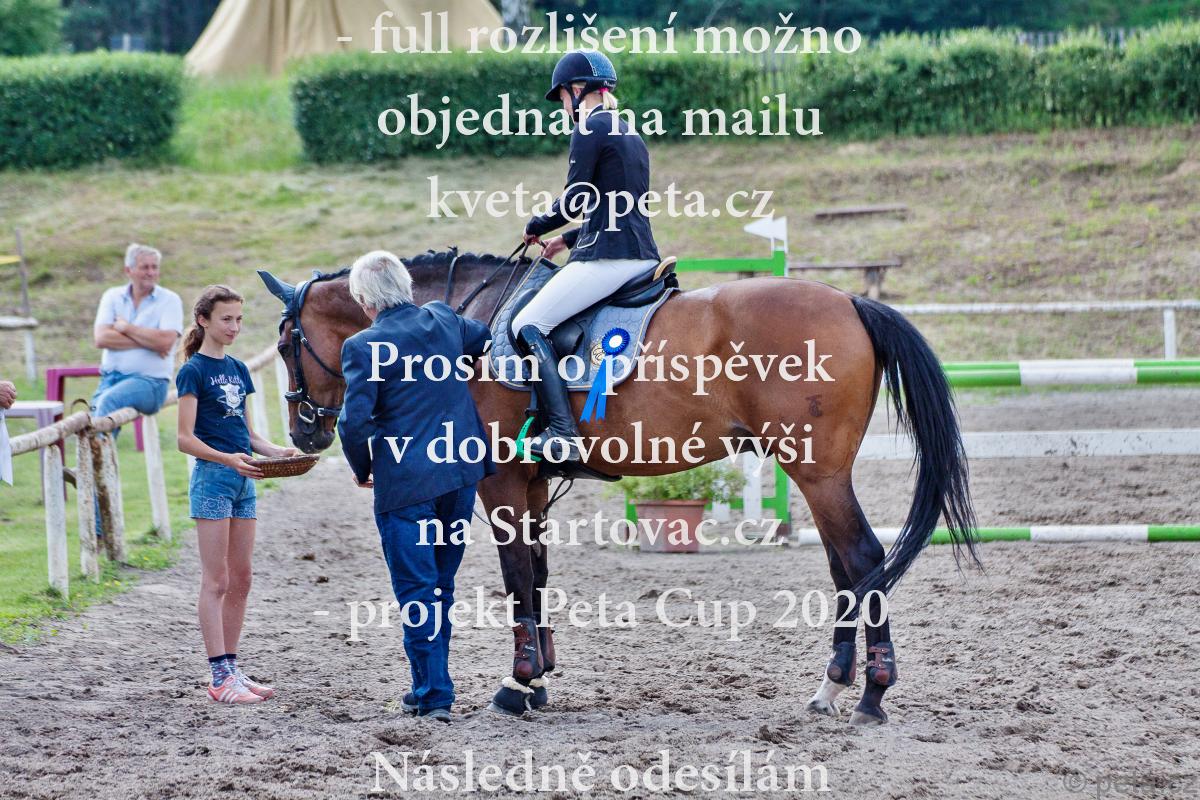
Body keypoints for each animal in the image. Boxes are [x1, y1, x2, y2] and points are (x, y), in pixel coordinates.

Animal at [258, 248, 978, 726]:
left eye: (288, 341)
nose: (304, 432)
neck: (468, 323)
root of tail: (849, 300)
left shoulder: (501, 481)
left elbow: (515, 576)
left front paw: (517, 684)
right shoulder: (531, 484)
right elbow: (537, 576)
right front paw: (540, 680)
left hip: (817, 472)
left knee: (862, 559)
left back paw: (870, 695)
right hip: (817, 474)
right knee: (846, 570)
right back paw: (833, 688)